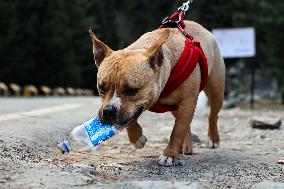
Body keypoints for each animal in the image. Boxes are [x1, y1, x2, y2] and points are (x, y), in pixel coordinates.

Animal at [90, 19, 225, 166]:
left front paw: (169, 155)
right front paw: (137, 138)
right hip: (176, 107)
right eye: (101, 88)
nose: (108, 110)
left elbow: (177, 130)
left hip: (215, 91)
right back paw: (186, 146)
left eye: (132, 90)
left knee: (212, 115)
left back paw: (213, 139)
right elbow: (129, 119)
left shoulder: (188, 101)